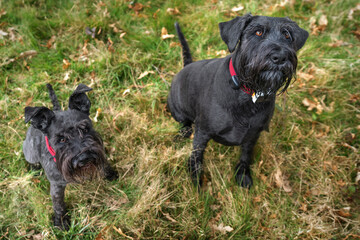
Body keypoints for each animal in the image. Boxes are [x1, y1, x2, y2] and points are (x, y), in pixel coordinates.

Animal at [22, 83, 118, 230]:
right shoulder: (57, 186)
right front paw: (61, 222)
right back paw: (34, 170)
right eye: (61, 139)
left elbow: (104, 164)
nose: (84, 158)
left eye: (85, 128)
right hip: (29, 151)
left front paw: (110, 174)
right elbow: (58, 204)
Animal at [167, 14, 308, 188]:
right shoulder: (202, 131)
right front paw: (195, 179)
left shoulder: (253, 134)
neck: (248, 94)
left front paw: (243, 174)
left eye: (287, 35)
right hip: (177, 109)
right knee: (185, 122)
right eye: (258, 32)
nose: (280, 57)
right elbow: (197, 155)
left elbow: (246, 155)